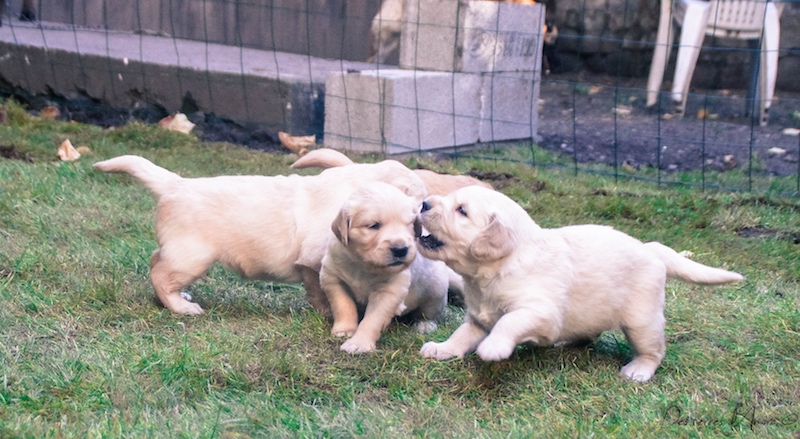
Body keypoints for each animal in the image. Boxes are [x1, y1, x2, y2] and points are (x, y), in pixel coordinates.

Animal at [93, 155, 428, 316]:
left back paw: (178, 298)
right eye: (421, 204)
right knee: (160, 273)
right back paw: (182, 307)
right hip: (192, 255)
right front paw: (327, 312)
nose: (404, 249)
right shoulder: (315, 260)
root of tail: (175, 184)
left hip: (180, 250)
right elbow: (322, 290)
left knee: (156, 261)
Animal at [318, 182, 456, 354]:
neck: (363, 264)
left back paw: (425, 325)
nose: (401, 249)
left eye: (409, 225)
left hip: (436, 290)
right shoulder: (332, 277)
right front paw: (344, 329)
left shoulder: (389, 291)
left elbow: (372, 320)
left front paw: (358, 343)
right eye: (374, 225)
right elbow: (343, 306)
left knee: (430, 313)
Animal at [416, 186, 748, 382]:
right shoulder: (479, 317)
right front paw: (442, 349)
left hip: (642, 319)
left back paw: (639, 370)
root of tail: (651, 249)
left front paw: (493, 347)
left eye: (462, 210)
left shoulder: (541, 312)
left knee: (654, 350)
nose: (423, 203)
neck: (492, 272)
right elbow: (462, 335)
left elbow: (510, 322)